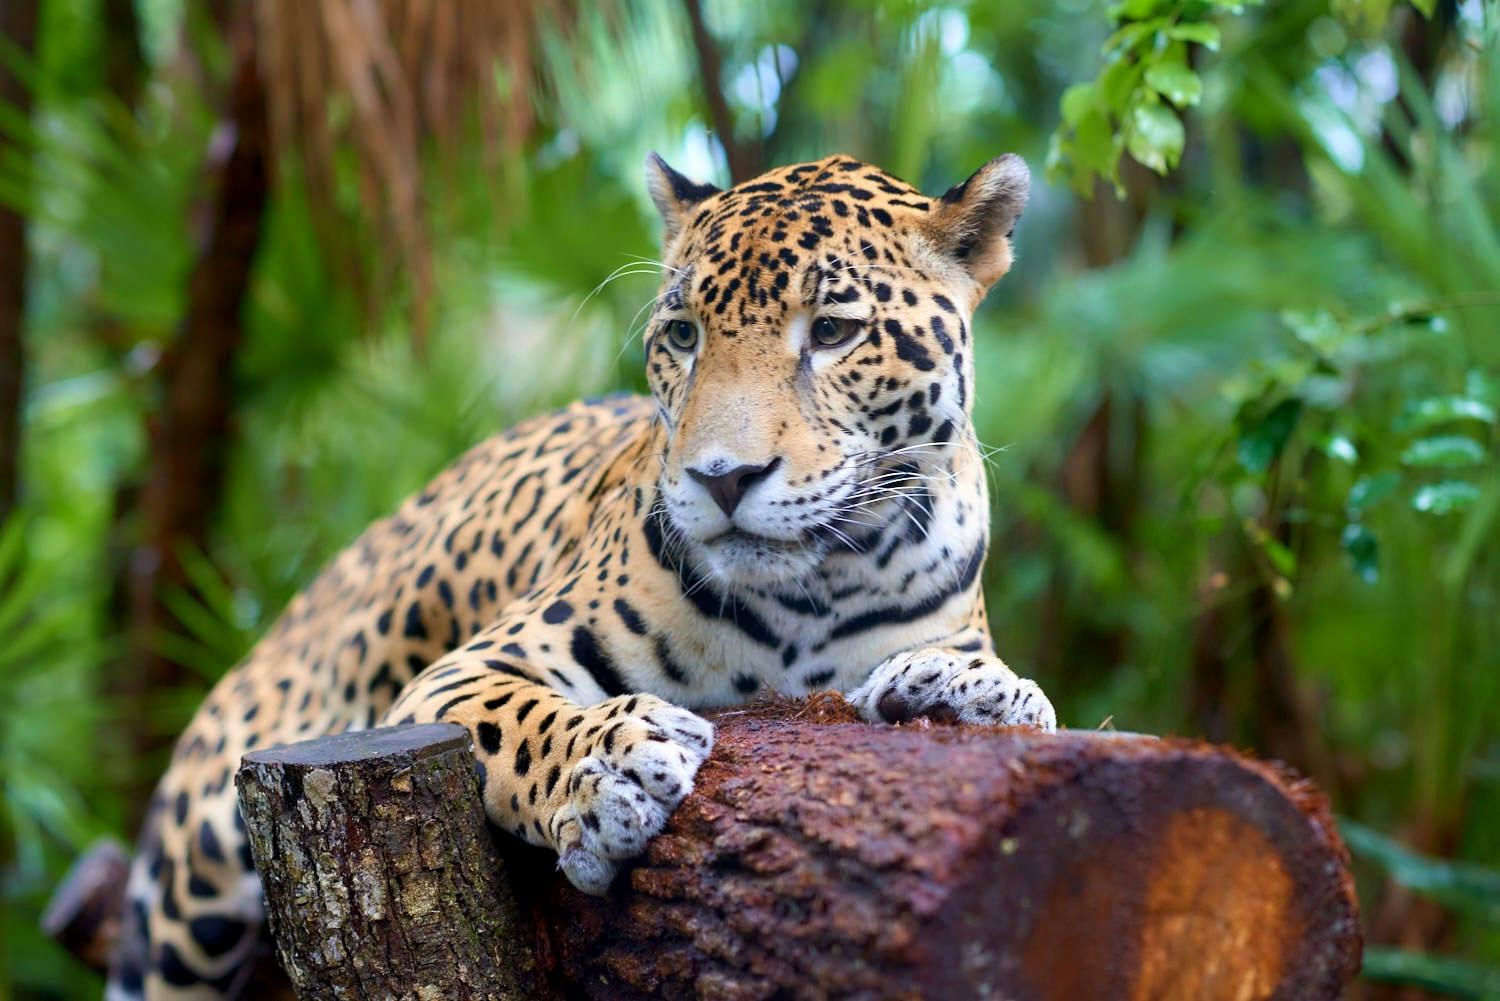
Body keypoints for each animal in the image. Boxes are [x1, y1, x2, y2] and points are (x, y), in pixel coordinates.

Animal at [105, 151, 1057, 999]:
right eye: (683, 336)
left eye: (832, 331)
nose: (723, 478)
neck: (812, 596)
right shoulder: (459, 673)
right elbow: (520, 721)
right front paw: (611, 766)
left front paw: (970, 692)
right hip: (194, 877)